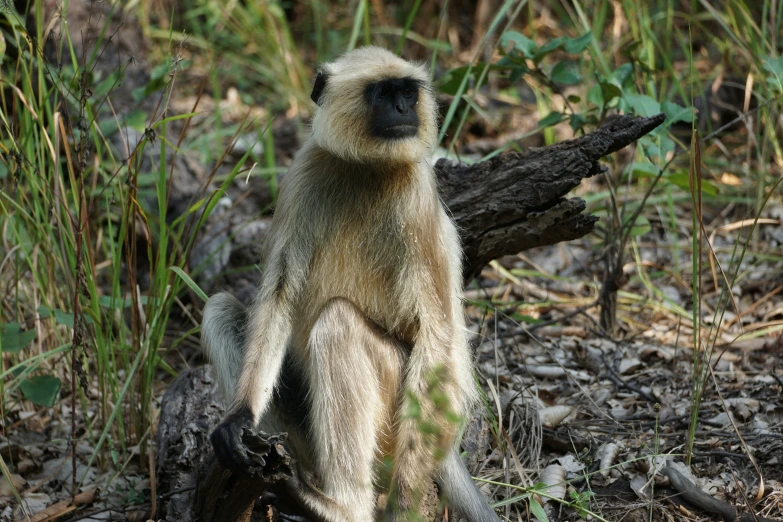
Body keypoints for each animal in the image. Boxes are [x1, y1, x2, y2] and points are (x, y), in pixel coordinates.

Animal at [199, 45, 500, 520]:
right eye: (383, 94)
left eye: (407, 92)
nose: (403, 110)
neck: (366, 168)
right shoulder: (305, 172)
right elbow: (280, 294)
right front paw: (237, 420)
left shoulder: (416, 194)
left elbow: (437, 337)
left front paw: (403, 508)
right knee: (221, 308)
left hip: (400, 409)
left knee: (338, 323)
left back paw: (337, 506)